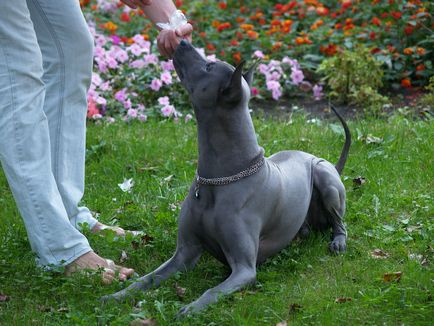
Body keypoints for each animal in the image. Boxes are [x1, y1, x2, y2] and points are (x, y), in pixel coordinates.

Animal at [103, 40, 350, 316]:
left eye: (209, 66)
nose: (182, 41)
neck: (219, 180)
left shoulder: (244, 269)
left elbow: (212, 291)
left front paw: (190, 309)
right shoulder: (184, 254)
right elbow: (147, 279)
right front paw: (117, 295)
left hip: (325, 179)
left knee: (340, 222)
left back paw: (338, 242)